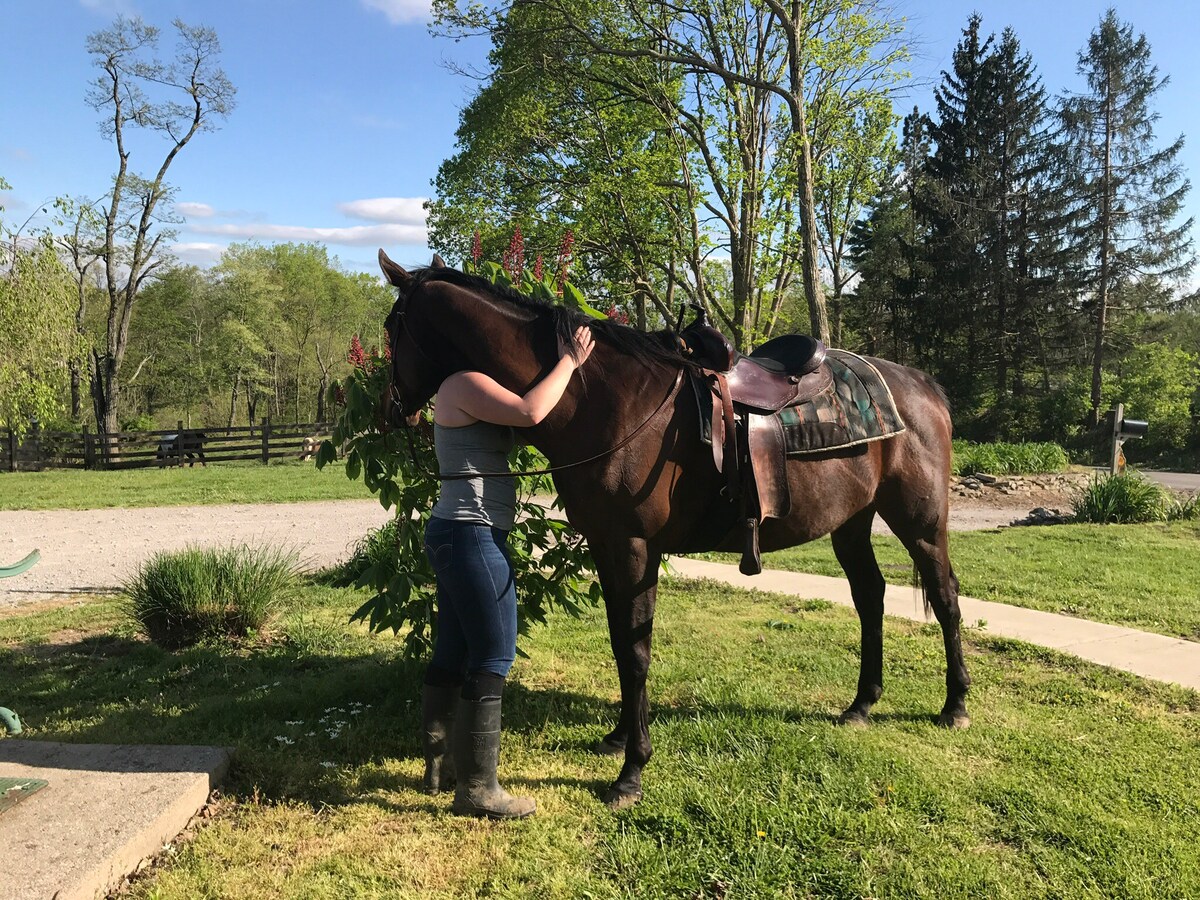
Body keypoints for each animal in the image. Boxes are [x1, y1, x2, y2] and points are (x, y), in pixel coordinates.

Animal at [379, 252, 969, 811]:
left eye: (391, 328)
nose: (390, 411)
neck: (599, 401)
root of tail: (921, 386)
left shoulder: (634, 548)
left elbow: (636, 650)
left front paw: (631, 772)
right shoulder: (608, 547)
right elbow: (621, 642)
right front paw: (620, 737)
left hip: (919, 521)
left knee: (944, 598)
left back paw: (955, 705)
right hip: (852, 522)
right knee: (871, 597)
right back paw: (863, 703)